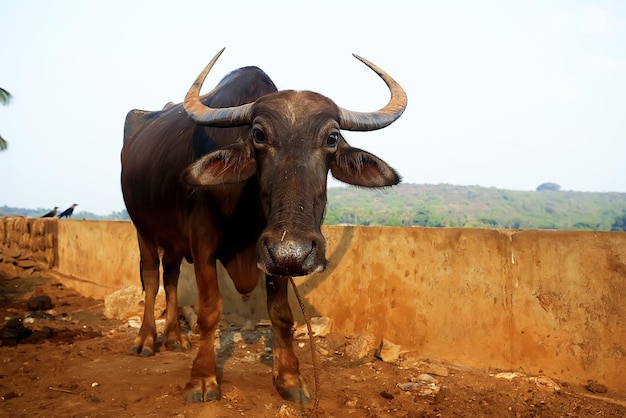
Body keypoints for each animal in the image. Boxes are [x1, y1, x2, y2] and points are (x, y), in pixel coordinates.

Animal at [120, 48, 404, 402]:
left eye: (332, 138)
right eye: (258, 135)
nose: (294, 249)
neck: (246, 209)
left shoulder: (275, 253)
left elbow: (281, 313)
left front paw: (290, 378)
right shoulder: (203, 244)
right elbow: (209, 309)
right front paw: (202, 378)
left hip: (173, 240)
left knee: (171, 277)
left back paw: (174, 337)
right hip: (142, 228)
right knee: (151, 278)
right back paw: (146, 340)